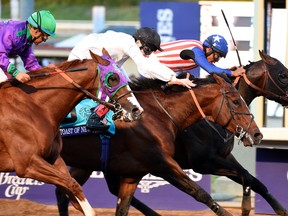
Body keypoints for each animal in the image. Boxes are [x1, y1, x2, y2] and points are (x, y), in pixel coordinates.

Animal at [0, 49, 142, 216]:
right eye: (113, 78)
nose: (136, 110)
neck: (34, 107)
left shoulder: (53, 158)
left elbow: (73, 194)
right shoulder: (27, 164)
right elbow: (73, 185)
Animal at [57, 73, 262, 216]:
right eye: (235, 101)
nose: (257, 134)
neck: (156, 115)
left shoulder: (132, 174)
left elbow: (122, 208)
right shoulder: (163, 164)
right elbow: (200, 193)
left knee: (65, 191)